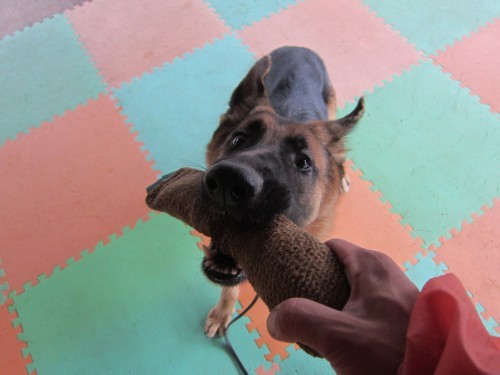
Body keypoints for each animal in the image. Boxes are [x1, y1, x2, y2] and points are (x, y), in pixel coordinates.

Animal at [200, 47, 364, 338]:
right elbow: (230, 286)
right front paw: (223, 312)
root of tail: (300, 48)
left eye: (303, 162)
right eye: (238, 139)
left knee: (341, 153)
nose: (229, 182)